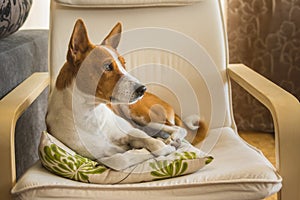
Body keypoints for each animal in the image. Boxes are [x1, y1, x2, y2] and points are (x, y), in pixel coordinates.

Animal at [46, 18, 206, 170]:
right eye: (107, 66)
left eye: (124, 64)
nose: (142, 89)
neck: (92, 115)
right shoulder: (99, 158)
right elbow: (119, 160)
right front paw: (142, 151)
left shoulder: (131, 130)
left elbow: (156, 145)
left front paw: (160, 145)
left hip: (138, 114)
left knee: (178, 129)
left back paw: (171, 138)